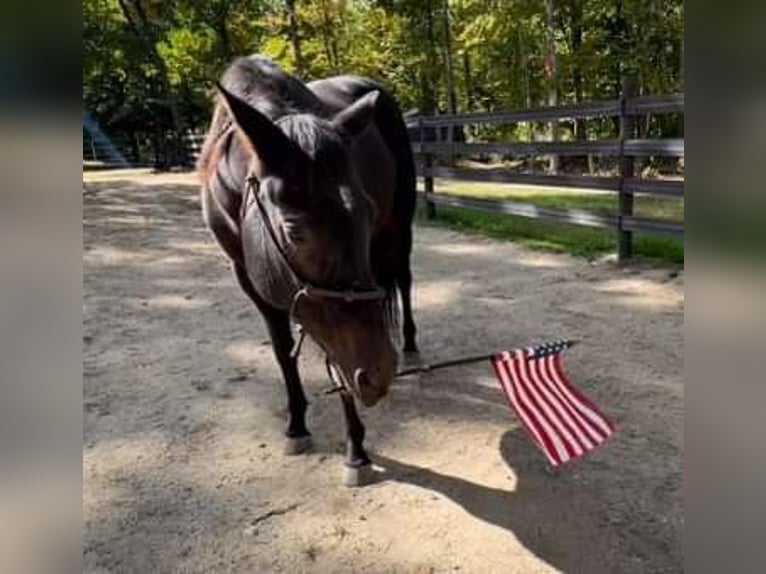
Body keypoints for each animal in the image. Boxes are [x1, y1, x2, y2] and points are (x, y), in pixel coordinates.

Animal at [195, 54, 416, 488]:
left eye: (366, 212)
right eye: (295, 231)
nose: (379, 372)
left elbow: (337, 358)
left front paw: (356, 452)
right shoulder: (252, 280)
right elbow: (285, 353)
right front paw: (296, 425)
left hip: (401, 227)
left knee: (405, 280)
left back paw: (411, 342)